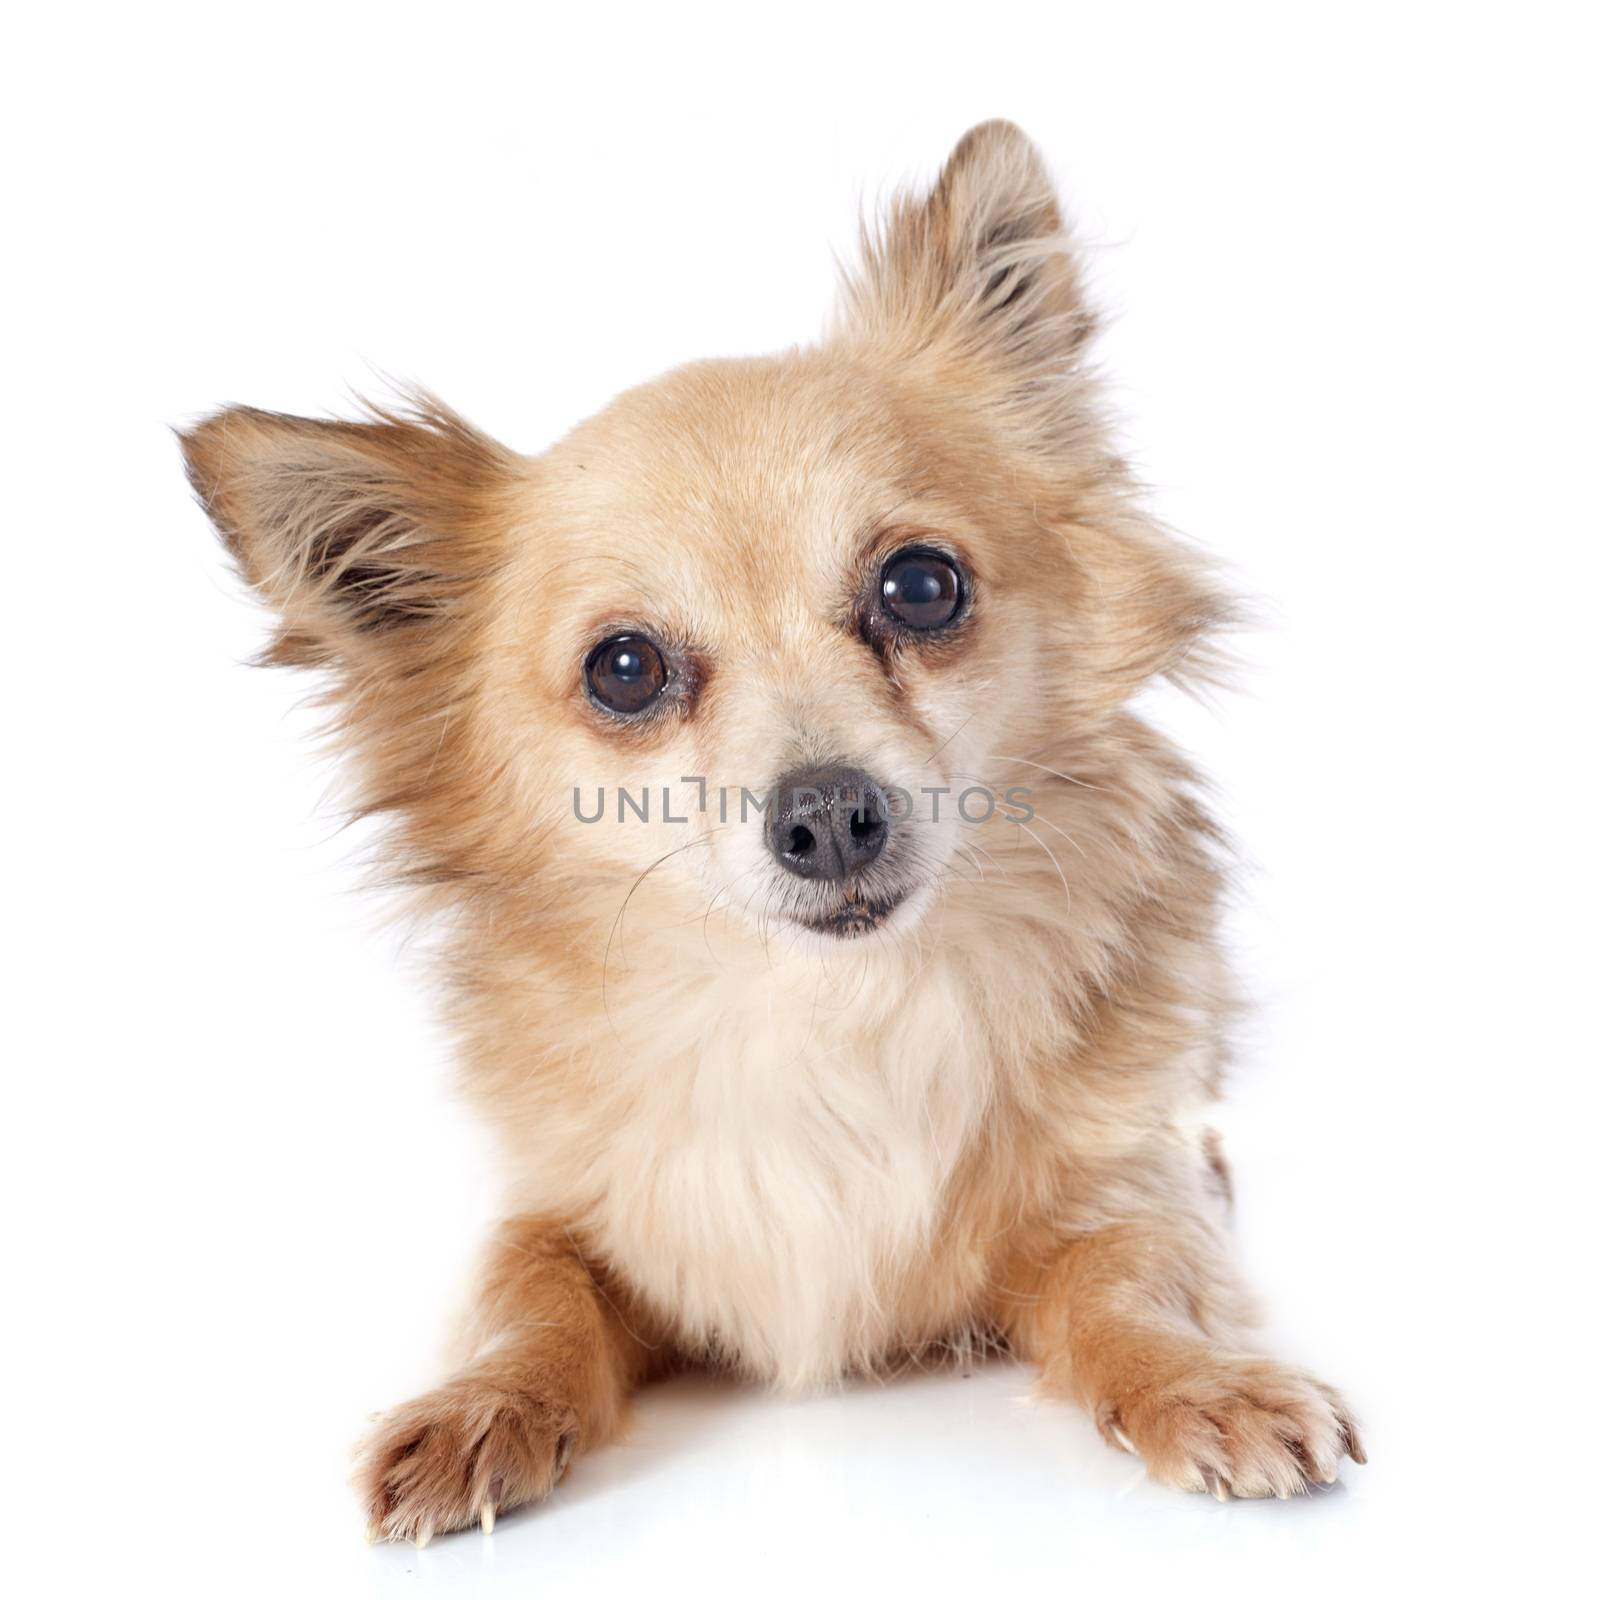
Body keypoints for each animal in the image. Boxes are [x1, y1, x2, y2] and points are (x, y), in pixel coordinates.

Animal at [184, 118, 1363, 1542]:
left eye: (921, 585)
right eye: (623, 668)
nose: (828, 816)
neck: (834, 1014)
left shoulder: (1123, 1191)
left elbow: (1133, 1280)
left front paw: (1204, 1381)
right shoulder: (556, 1208)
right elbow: (526, 1292)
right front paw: (480, 1405)